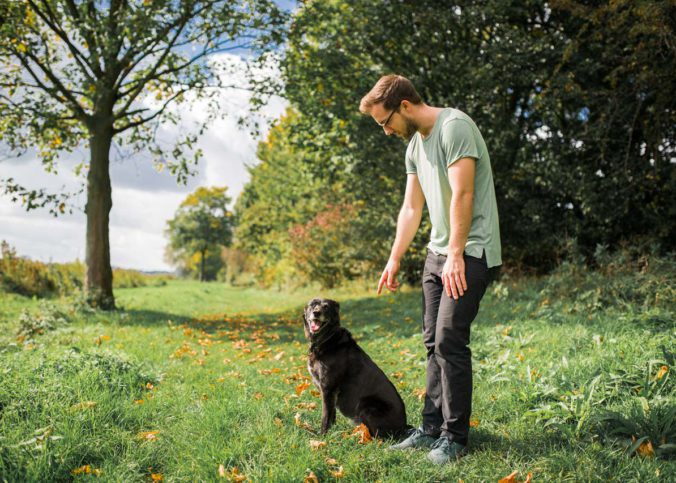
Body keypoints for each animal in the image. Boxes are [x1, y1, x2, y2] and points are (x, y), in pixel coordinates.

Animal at [304, 298, 410, 438]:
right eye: (312, 305)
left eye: (326, 307)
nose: (316, 313)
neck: (327, 339)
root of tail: (404, 427)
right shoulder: (330, 392)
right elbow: (332, 415)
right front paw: (332, 433)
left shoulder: (328, 388)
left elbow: (325, 416)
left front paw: (322, 436)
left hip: (366, 406)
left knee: (376, 436)